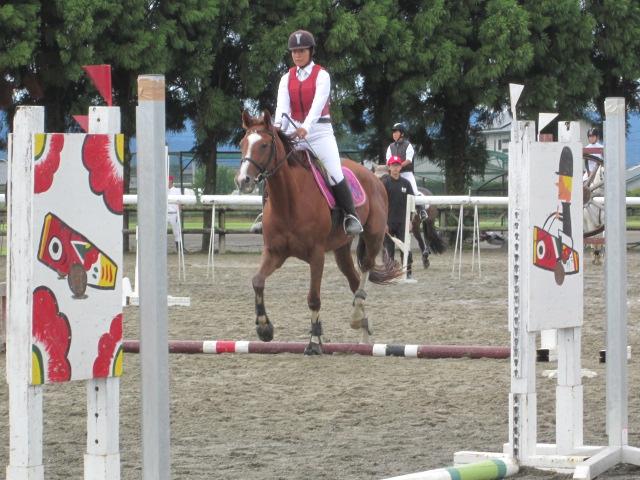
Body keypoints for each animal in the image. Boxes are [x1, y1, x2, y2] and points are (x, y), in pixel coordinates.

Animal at [234, 110, 402, 355]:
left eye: (264, 145)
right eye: (242, 144)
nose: (242, 181)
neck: (288, 200)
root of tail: (373, 176)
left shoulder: (316, 255)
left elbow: (313, 298)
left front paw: (314, 342)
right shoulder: (274, 253)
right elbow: (257, 281)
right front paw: (265, 328)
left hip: (374, 237)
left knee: (365, 270)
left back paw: (356, 316)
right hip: (341, 249)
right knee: (354, 280)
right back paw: (363, 331)